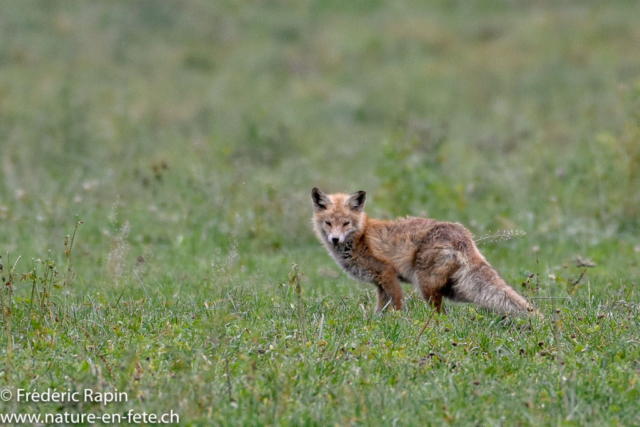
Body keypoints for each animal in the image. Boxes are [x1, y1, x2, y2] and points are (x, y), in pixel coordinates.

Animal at [310, 189, 536, 316]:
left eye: (345, 223)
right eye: (328, 223)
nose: (335, 239)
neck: (360, 237)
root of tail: (462, 234)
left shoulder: (387, 273)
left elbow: (397, 305)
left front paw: (398, 322)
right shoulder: (380, 284)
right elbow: (380, 310)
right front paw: (376, 322)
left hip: (426, 287)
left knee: (441, 315)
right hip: (455, 289)